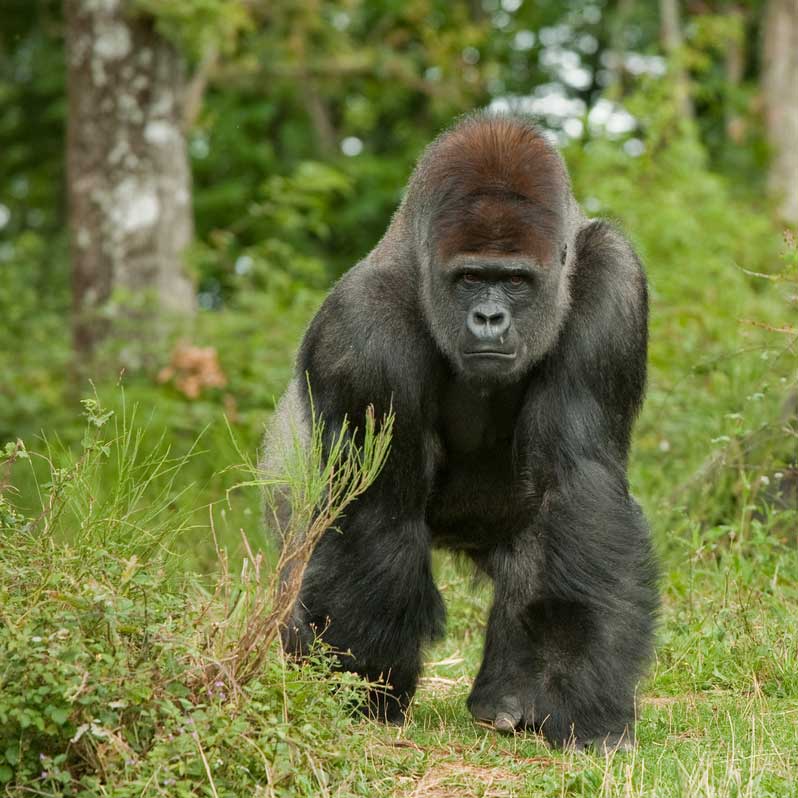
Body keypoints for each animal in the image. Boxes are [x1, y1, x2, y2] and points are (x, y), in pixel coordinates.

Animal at [260, 111, 656, 752]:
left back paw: (509, 698)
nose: (489, 318)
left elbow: (578, 491)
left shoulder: (612, 280)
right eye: (470, 277)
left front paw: (579, 699)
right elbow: (378, 513)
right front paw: (363, 693)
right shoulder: (361, 328)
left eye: (514, 281)